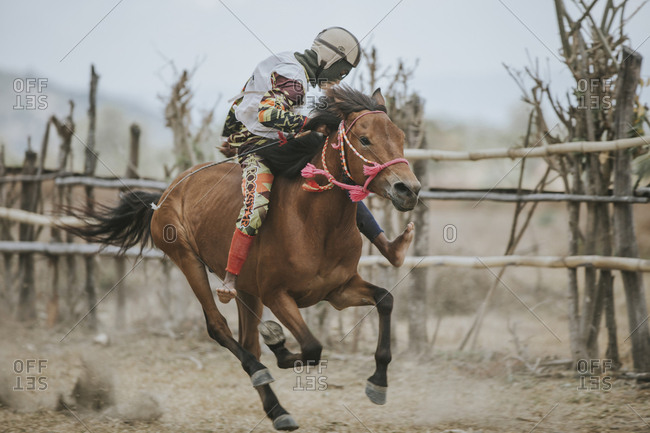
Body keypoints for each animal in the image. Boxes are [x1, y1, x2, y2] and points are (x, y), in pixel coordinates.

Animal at [65, 85, 421, 431]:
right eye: (364, 139)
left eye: (401, 137)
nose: (409, 189)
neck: (314, 223)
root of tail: (167, 193)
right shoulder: (278, 295)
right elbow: (311, 348)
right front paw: (280, 349)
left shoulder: (338, 291)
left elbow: (385, 300)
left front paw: (378, 382)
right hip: (187, 259)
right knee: (220, 329)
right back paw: (262, 371)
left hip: (247, 290)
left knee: (248, 340)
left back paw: (278, 410)